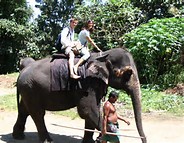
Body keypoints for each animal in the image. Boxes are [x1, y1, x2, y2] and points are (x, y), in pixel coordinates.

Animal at [11, 47, 147, 143]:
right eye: (128, 73)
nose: (145, 141)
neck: (102, 55)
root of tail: (22, 70)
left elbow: (94, 109)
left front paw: (91, 141)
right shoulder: (87, 83)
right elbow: (87, 110)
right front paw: (106, 137)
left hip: (28, 89)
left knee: (24, 110)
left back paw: (18, 137)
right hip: (31, 89)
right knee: (37, 114)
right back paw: (47, 141)